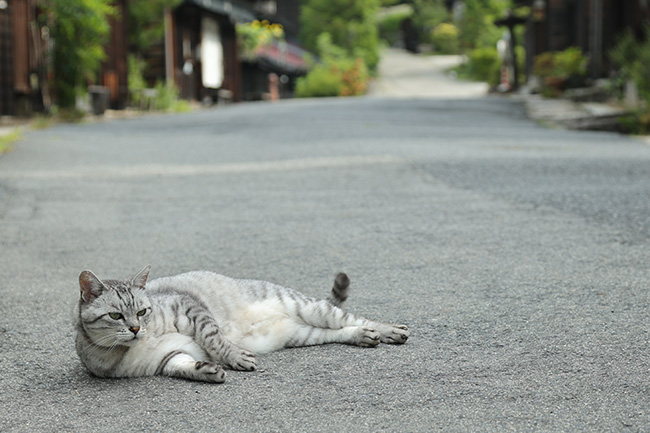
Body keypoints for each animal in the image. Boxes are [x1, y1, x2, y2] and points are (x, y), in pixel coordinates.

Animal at [73, 264, 408, 382]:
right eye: (116, 316)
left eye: (143, 312)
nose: (135, 329)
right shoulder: (167, 358)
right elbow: (185, 366)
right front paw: (206, 371)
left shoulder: (190, 309)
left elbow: (214, 338)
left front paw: (234, 357)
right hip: (304, 333)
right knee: (337, 331)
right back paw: (363, 335)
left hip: (309, 308)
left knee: (353, 317)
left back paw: (390, 330)